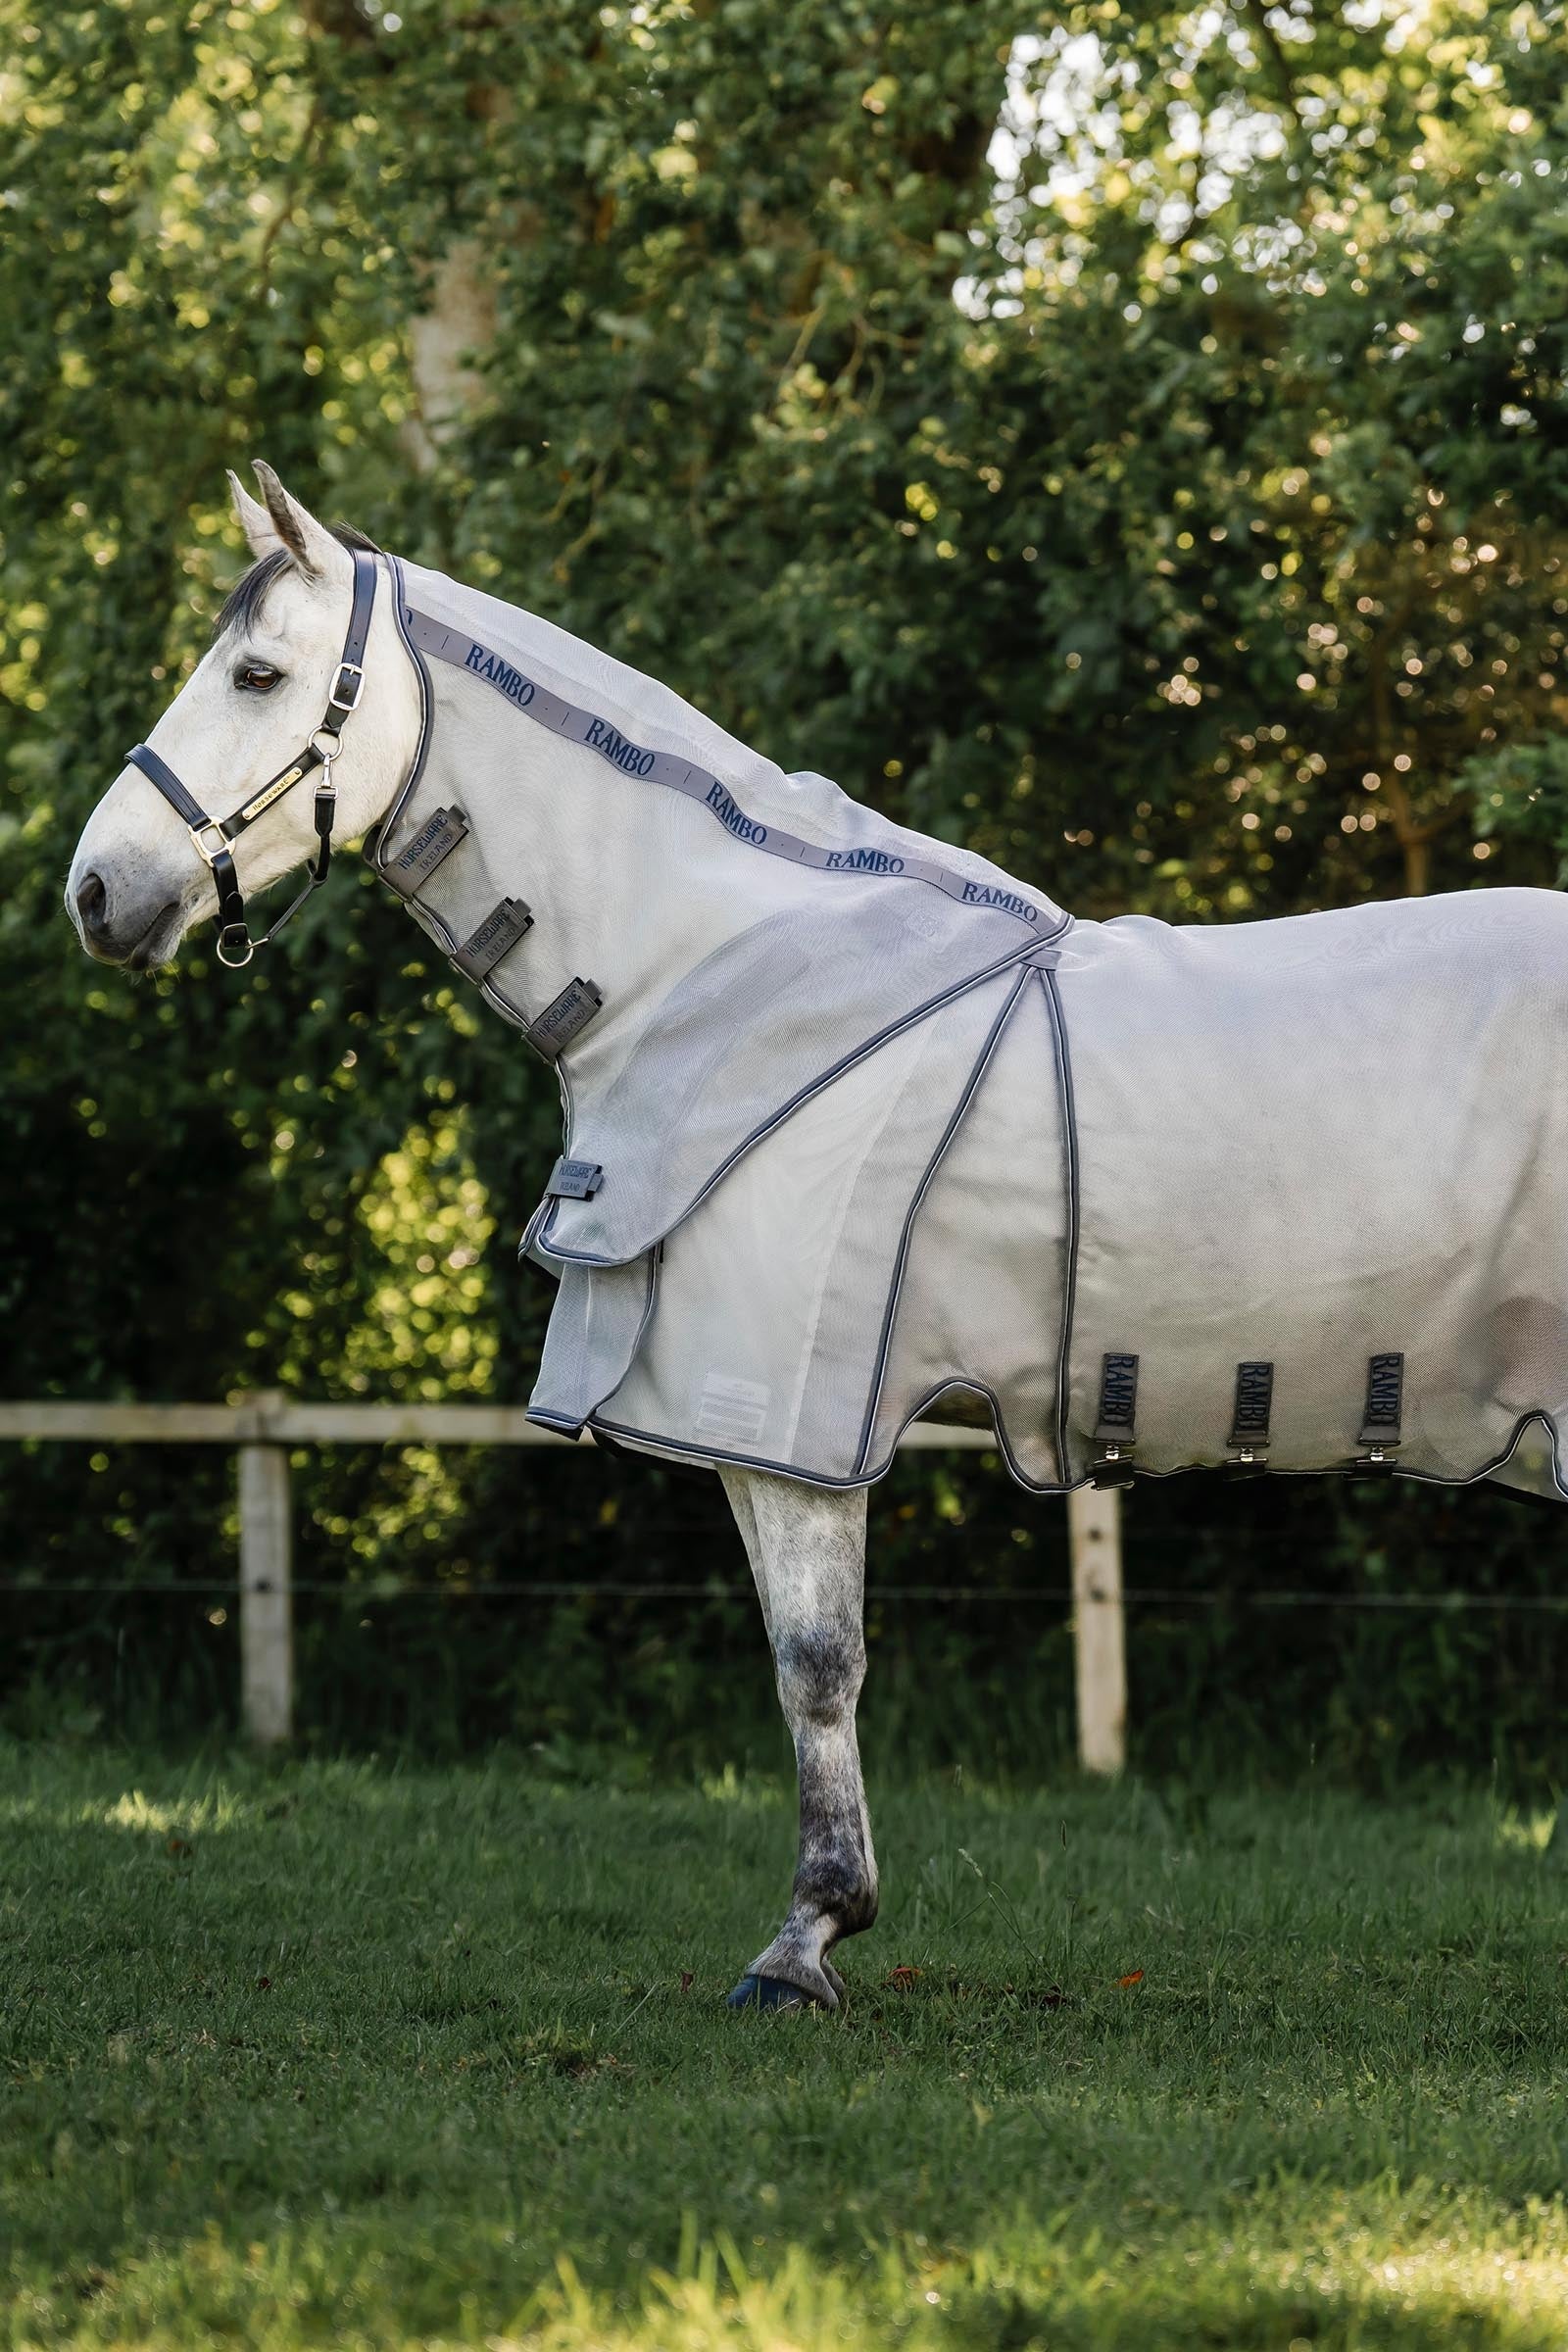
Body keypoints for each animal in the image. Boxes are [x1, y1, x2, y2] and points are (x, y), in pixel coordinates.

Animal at [67, 464, 1568, 2011]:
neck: (719, 972)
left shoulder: (784, 1412)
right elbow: (803, 1665)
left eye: (256, 673)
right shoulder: (748, 1429)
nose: (96, 892)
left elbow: (816, 1663)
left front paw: (805, 1942)